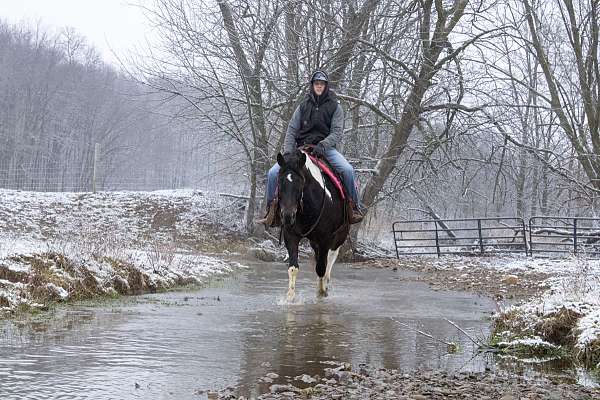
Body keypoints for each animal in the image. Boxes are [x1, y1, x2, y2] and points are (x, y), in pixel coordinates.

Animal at [274, 149, 350, 300]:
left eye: (300, 183)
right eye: (279, 182)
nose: (287, 216)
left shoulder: (326, 239)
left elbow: (321, 268)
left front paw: (321, 292)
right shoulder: (290, 235)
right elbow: (293, 267)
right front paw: (290, 297)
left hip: (339, 237)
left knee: (329, 260)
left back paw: (325, 285)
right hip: (315, 242)